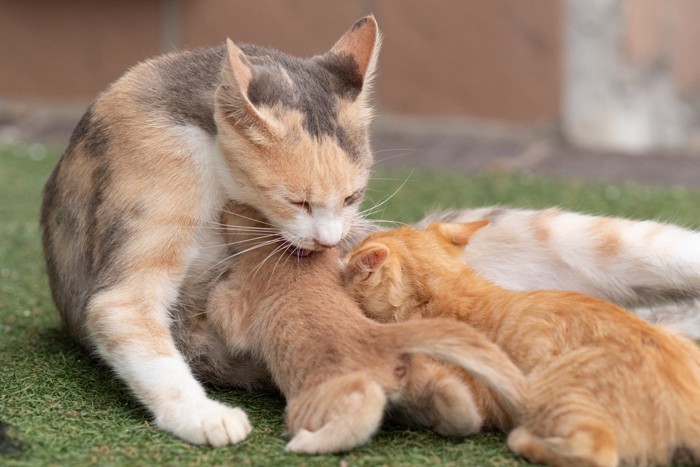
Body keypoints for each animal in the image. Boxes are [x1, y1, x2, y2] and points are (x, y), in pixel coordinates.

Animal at [204, 205, 524, 454]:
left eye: (236, 208)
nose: (222, 210)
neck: (296, 264)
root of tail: (380, 336)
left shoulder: (239, 304)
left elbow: (222, 309)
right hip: (422, 377)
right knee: (453, 397)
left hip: (311, 402)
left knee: (362, 408)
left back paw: (307, 443)